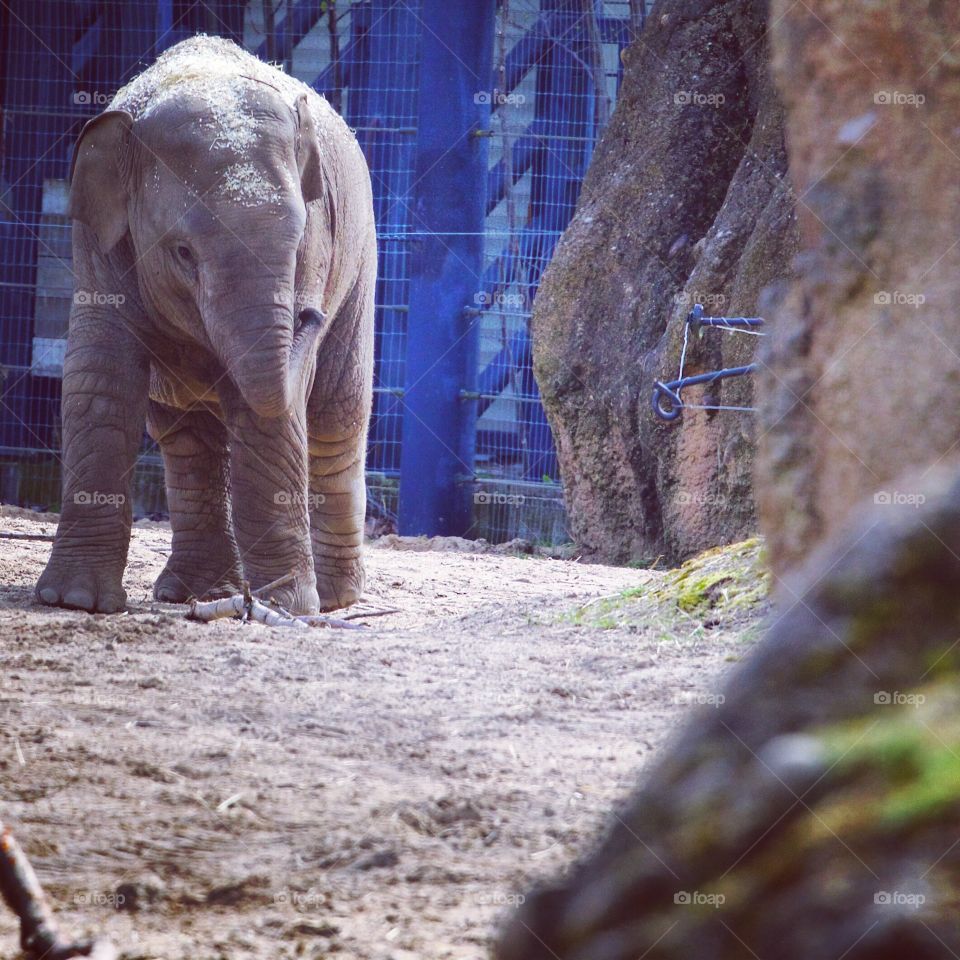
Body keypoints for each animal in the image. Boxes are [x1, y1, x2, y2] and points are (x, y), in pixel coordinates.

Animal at [36, 37, 376, 616]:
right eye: (183, 252)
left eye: (297, 243)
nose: (310, 314)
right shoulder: (98, 245)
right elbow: (102, 379)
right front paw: (74, 601)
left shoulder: (319, 246)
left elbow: (269, 411)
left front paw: (284, 607)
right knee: (187, 437)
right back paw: (200, 592)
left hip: (361, 267)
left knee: (337, 416)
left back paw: (333, 599)